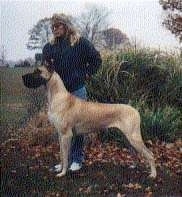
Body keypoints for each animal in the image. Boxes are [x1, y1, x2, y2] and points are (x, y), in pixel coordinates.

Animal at [22, 63, 156, 179]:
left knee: (150, 154)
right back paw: (133, 166)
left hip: (133, 137)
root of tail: (136, 110)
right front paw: (60, 169)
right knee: (136, 152)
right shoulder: (60, 134)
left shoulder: (66, 135)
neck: (57, 96)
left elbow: (65, 156)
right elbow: (61, 154)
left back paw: (153, 174)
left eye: (38, 71)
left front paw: (63, 173)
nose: (23, 77)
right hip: (127, 138)